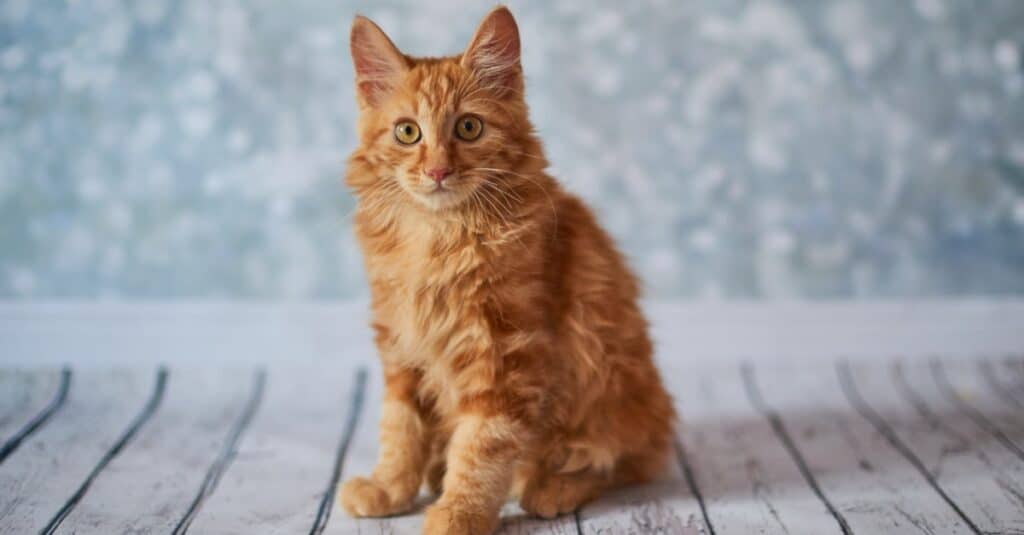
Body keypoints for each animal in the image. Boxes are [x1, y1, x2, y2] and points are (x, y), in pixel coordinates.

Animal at [337, 5, 679, 532]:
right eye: (407, 132)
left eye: (469, 128)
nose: (437, 171)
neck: (439, 238)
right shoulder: (401, 345)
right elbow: (401, 428)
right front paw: (389, 488)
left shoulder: (506, 356)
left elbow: (482, 446)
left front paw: (459, 512)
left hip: (610, 387)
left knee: (618, 460)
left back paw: (550, 487)